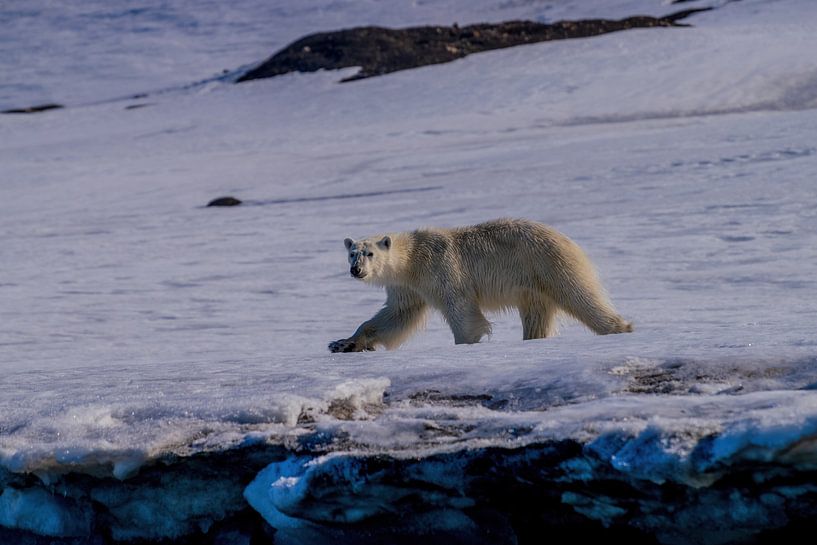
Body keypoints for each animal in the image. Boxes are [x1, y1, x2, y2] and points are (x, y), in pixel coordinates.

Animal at [328, 218, 632, 352]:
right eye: (352, 253)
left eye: (369, 253)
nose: (356, 270)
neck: (414, 259)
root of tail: (566, 239)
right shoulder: (408, 287)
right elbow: (397, 315)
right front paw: (344, 343)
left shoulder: (441, 269)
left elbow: (460, 308)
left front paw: (465, 343)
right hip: (532, 284)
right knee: (537, 315)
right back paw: (533, 338)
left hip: (547, 263)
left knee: (579, 295)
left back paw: (621, 327)